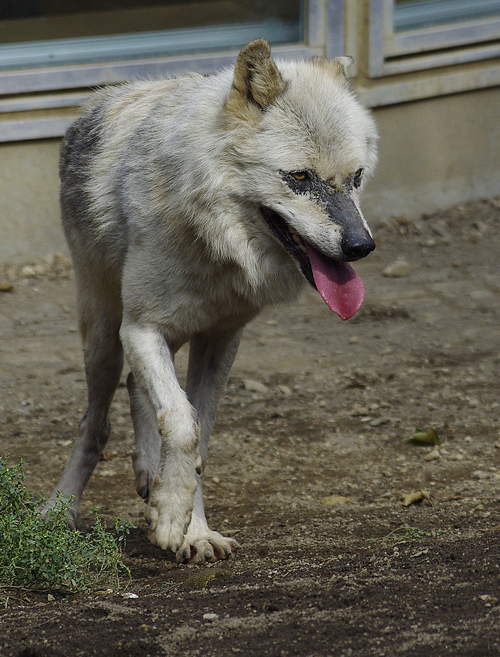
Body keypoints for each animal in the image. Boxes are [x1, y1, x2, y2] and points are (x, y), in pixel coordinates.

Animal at [47, 39, 376, 564]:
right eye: (299, 176)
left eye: (357, 177)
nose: (361, 246)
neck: (216, 242)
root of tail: (94, 103)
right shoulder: (142, 328)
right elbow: (183, 423)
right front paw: (170, 520)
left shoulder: (222, 338)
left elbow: (198, 433)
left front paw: (191, 528)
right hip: (103, 338)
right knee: (95, 425)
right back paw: (59, 510)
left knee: (138, 391)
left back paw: (150, 476)